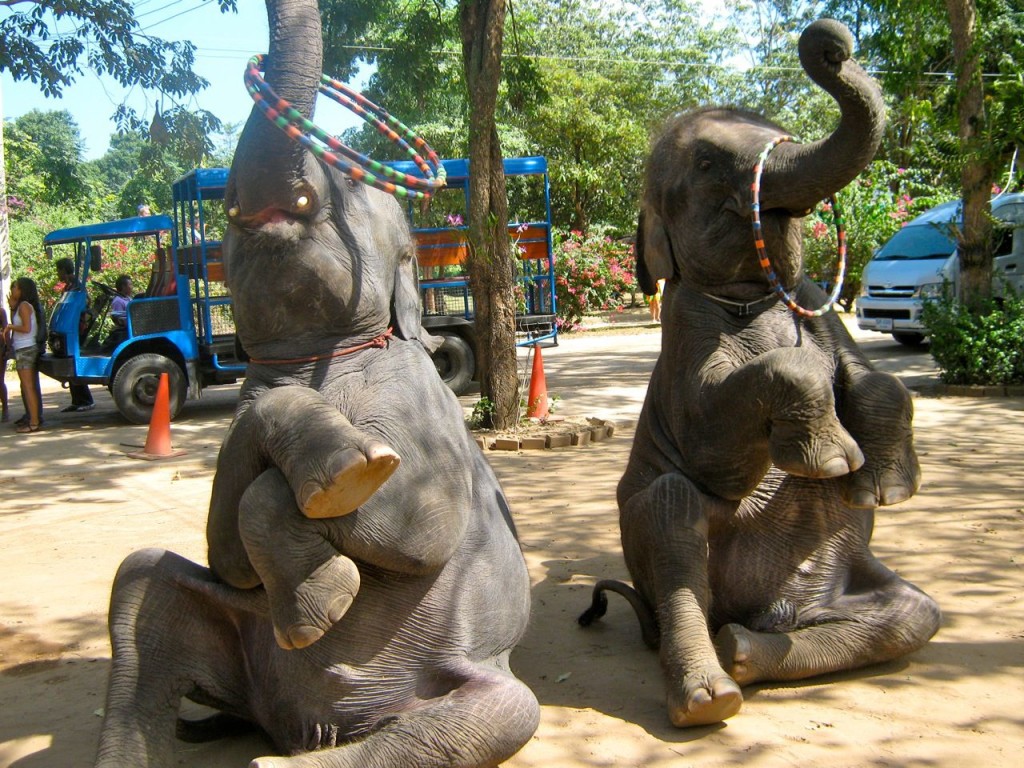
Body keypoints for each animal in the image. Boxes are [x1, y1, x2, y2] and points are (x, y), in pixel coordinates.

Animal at [94, 1, 544, 768]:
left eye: (355, 180)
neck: (320, 356)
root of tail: (299, 722)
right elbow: (225, 552)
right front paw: (328, 581)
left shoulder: (424, 410)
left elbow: (422, 530)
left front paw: (342, 499)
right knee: (140, 586)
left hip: (480, 681)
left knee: (497, 713)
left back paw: (285, 757)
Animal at [581, 16, 937, 729]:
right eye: (708, 164)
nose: (832, 43)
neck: (752, 293)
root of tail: (776, 609)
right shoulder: (684, 330)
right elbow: (710, 440)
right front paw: (833, 461)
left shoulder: (817, 306)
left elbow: (874, 378)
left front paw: (884, 490)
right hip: (670, 553)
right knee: (672, 509)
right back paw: (708, 694)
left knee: (915, 613)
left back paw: (747, 652)